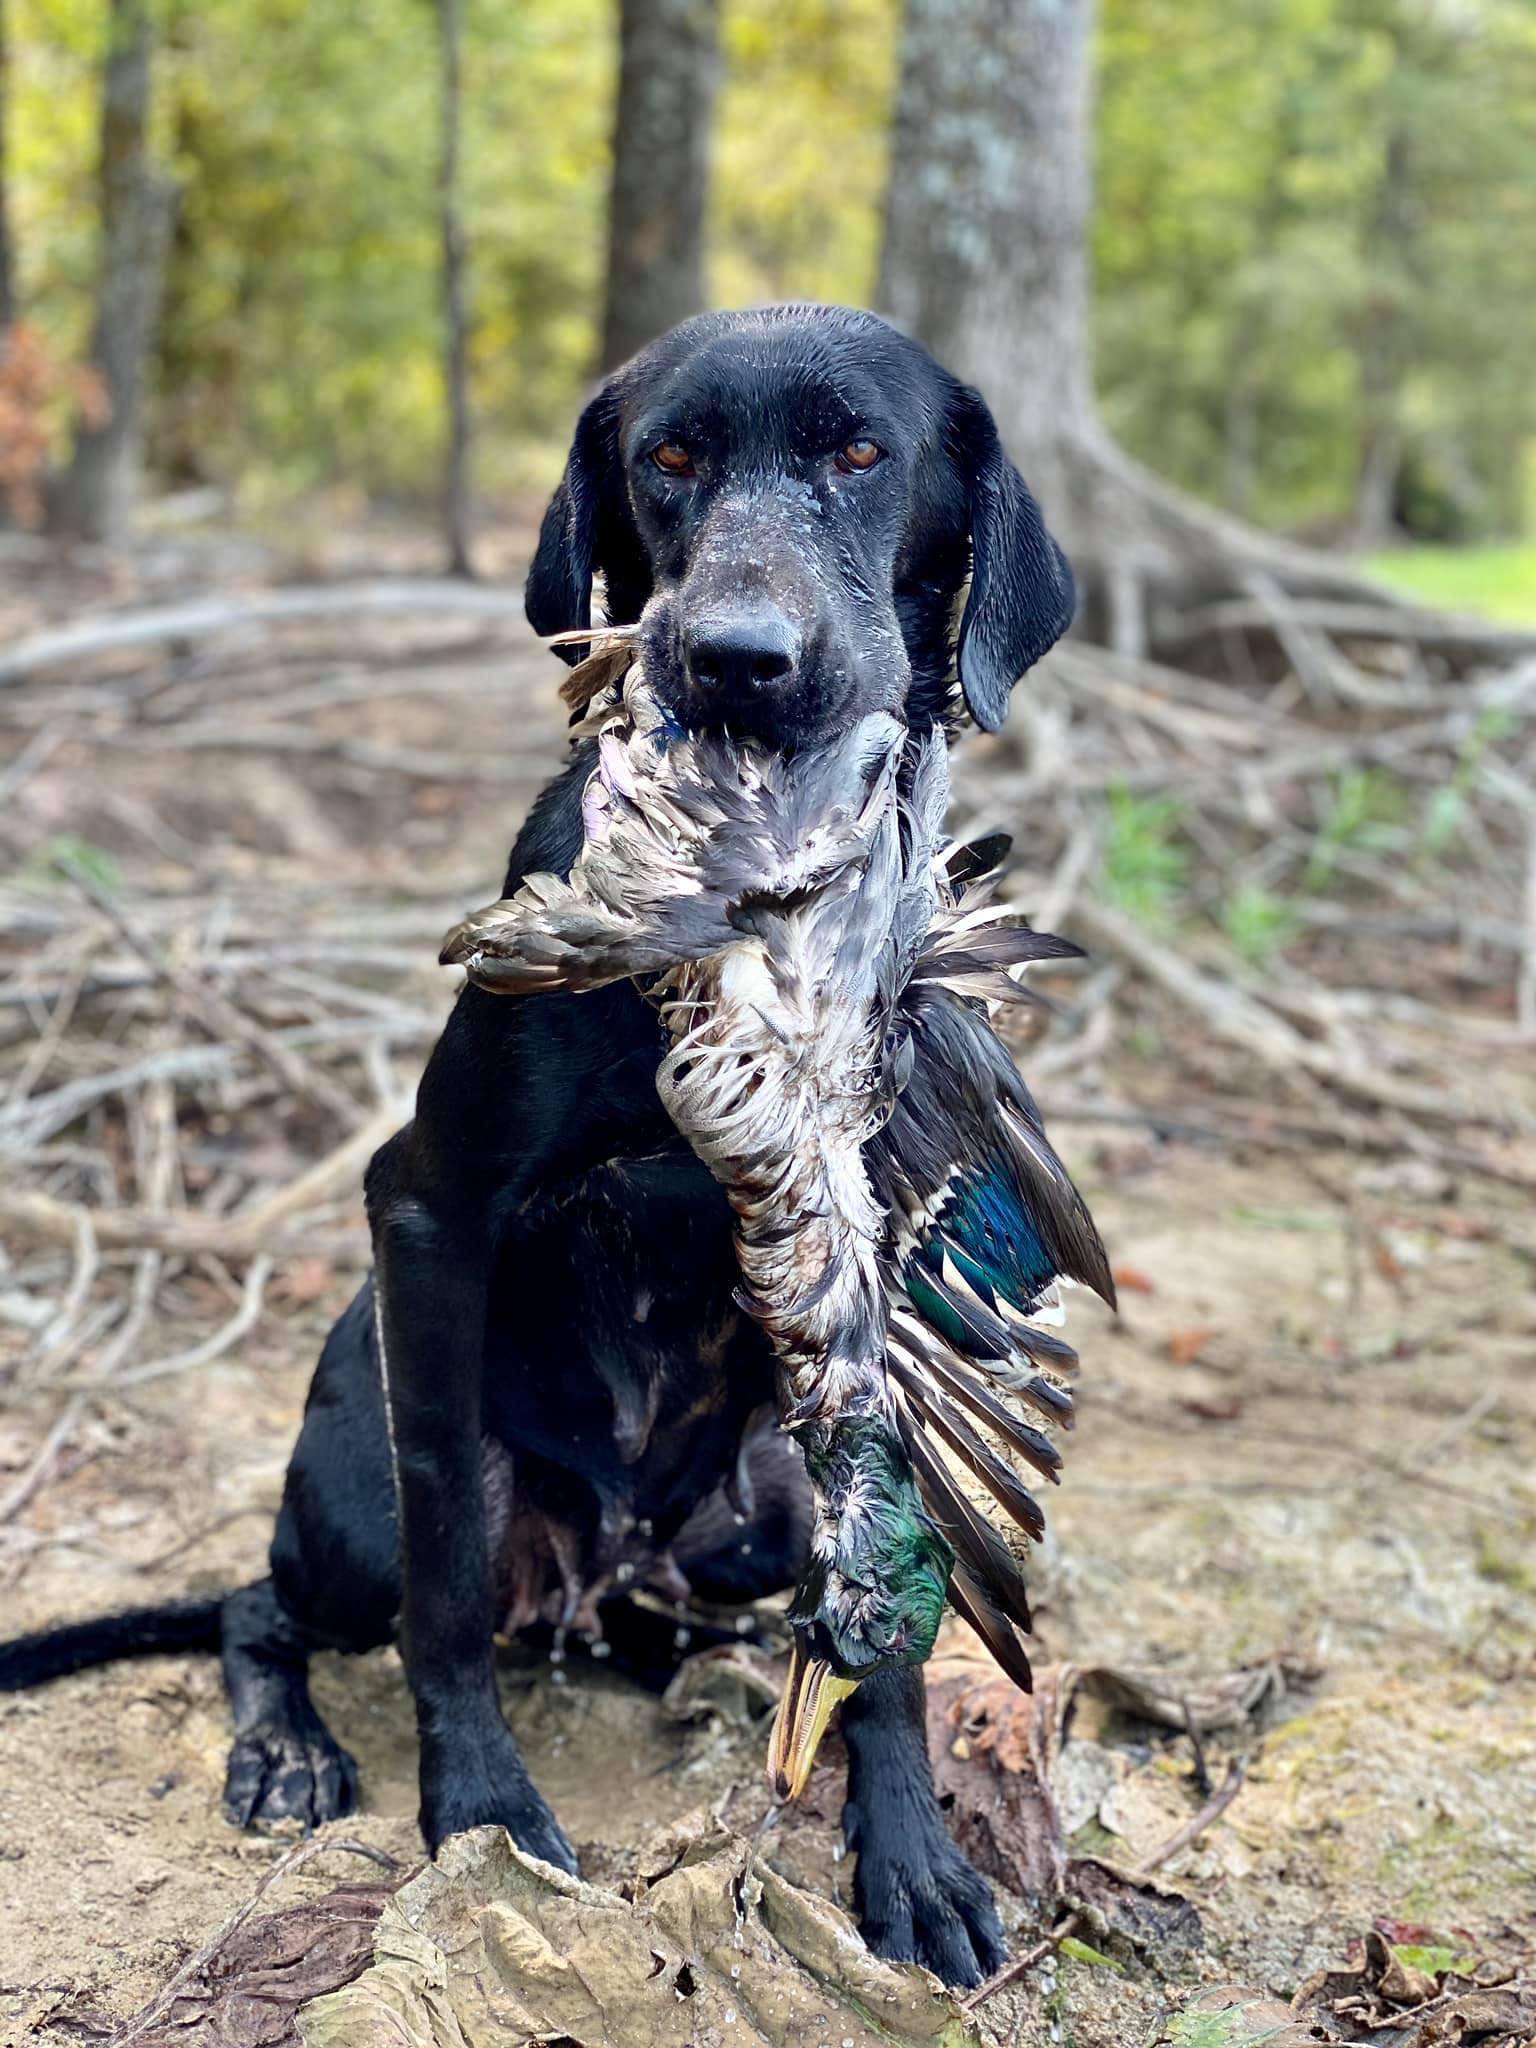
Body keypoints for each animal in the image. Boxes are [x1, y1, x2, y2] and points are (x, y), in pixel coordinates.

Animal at [0, 303, 1073, 1982]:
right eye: (669, 459)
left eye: (861, 452)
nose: (737, 661)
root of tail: (607, 1567)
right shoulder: (430, 1213)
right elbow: (445, 1562)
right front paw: (482, 1805)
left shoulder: (879, 1273)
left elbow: (894, 1588)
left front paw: (909, 1851)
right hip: (345, 1515)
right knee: (260, 1605)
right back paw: (289, 1745)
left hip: (748, 1517)